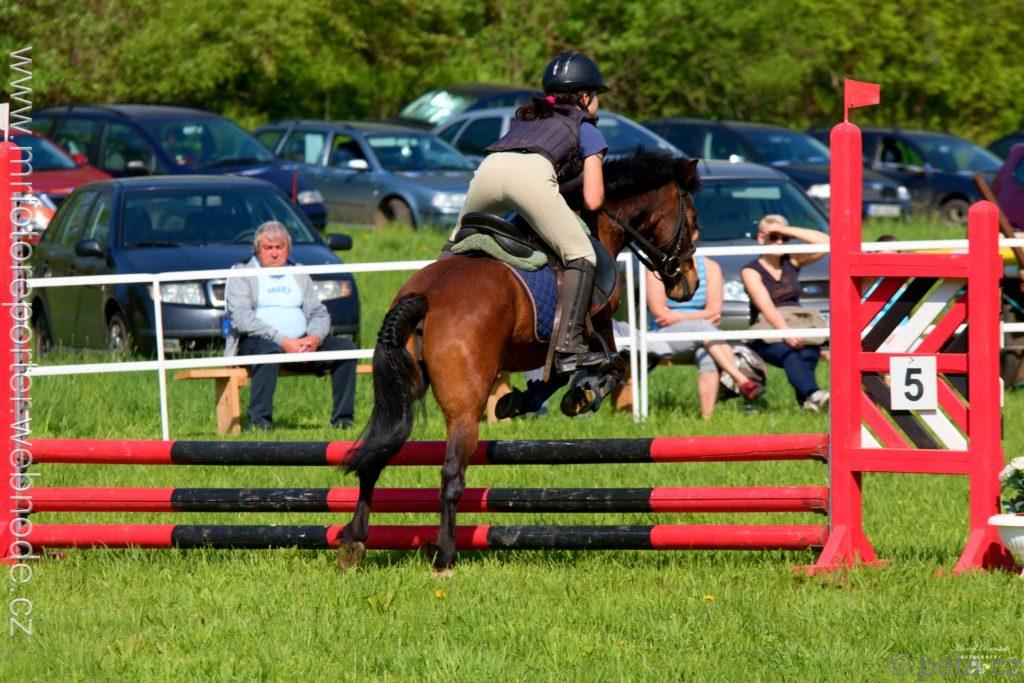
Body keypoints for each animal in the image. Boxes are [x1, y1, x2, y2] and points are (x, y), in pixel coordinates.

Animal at [340, 150, 702, 575]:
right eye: (692, 220)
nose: (689, 285)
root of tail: (424, 298)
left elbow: (557, 374)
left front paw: (520, 400)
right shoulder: (595, 324)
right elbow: (610, 367)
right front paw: (581, 394)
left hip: (400, 391)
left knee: (376, 457)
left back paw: (355, 542)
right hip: (464, 406)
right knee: (451, 474)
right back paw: (444, 556)